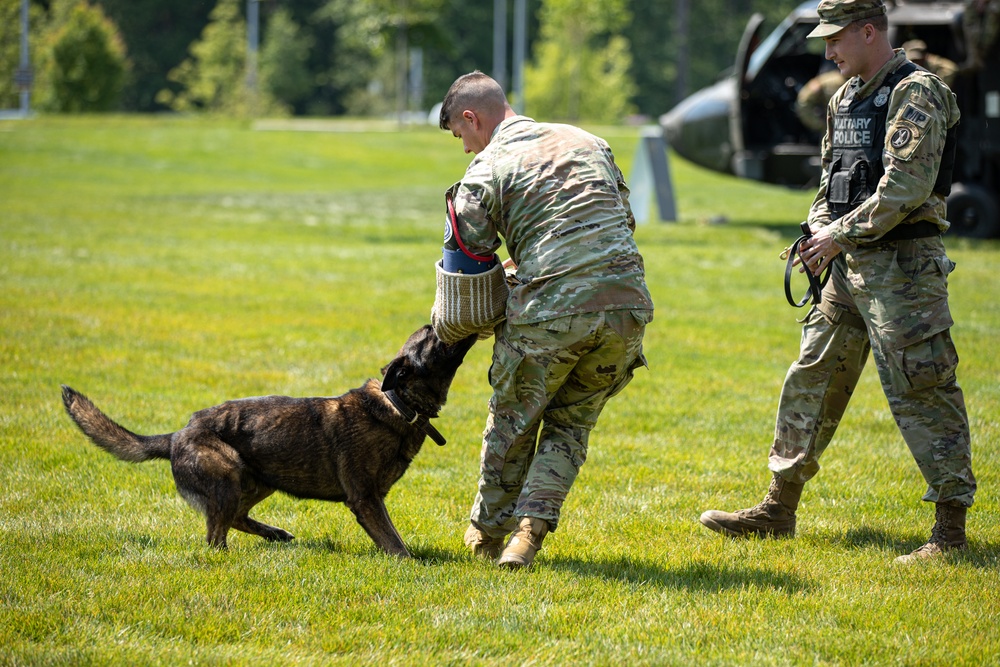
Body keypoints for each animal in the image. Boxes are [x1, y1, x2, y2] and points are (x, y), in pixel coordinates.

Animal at [61, 326, 476, 556]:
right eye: (433, 335)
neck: (398, 403)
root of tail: (178, 434)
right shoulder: (365, 499)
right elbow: (395, 543)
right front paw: (410, 565)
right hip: (228, 474)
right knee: (215, 536)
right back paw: (229, 556)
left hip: (262, 480)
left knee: (237, 518)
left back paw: (274, 534)